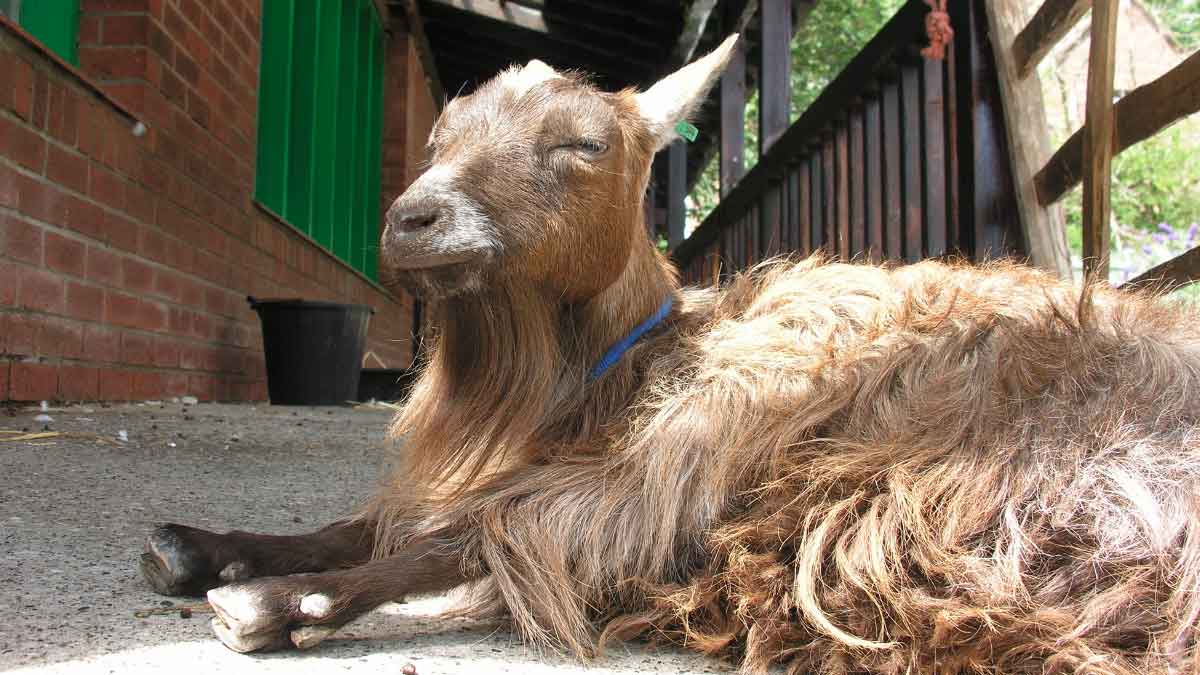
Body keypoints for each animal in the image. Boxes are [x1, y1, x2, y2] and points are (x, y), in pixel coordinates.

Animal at [140, 36, 1200, 673]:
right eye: (439, 133)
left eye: (582, 143)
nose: (414, 218)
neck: (613, 376)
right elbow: (370, 520)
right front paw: (206, 542)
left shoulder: (692, 443)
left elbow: (476, 530)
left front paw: (275, 593)